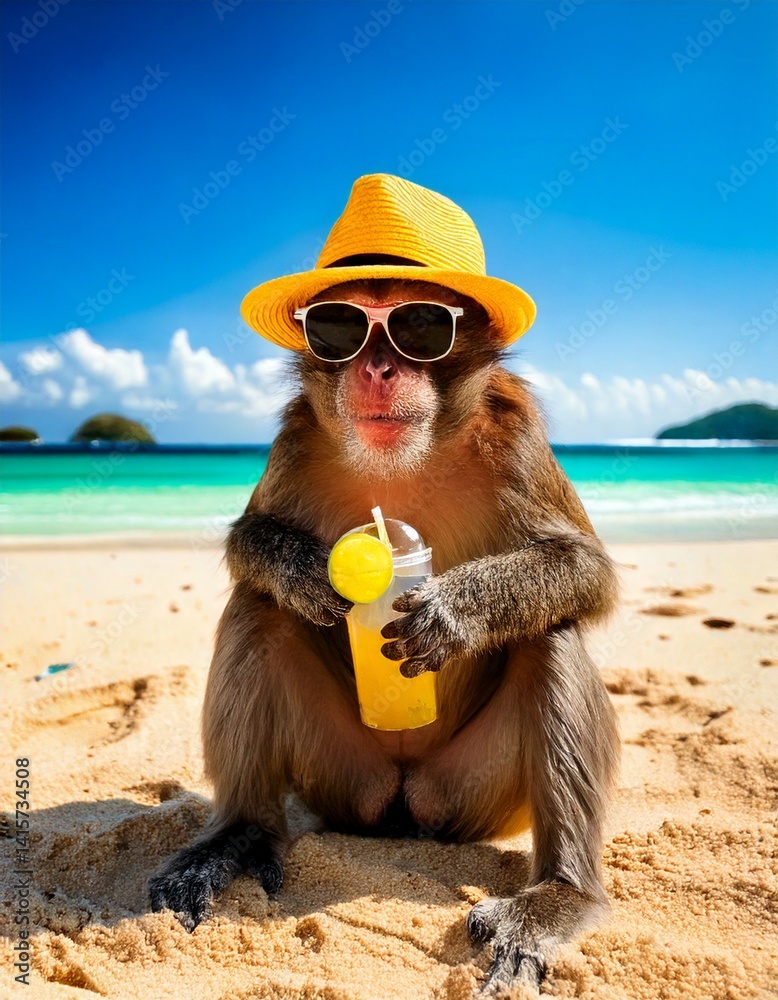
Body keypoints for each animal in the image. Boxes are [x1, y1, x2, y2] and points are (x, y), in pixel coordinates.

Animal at [149, 271, 620, 995]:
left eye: (417, 325)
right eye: (342, 325)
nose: (377, 366)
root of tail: (401, 809)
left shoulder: (517, 436)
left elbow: (585, 571)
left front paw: (455, 609)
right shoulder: (297, 437)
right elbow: (248, 543)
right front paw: (306, 571)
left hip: (468, 793)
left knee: (550, 633)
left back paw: (562, 895)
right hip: (340, 776)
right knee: (257, 608)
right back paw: (241, 835)